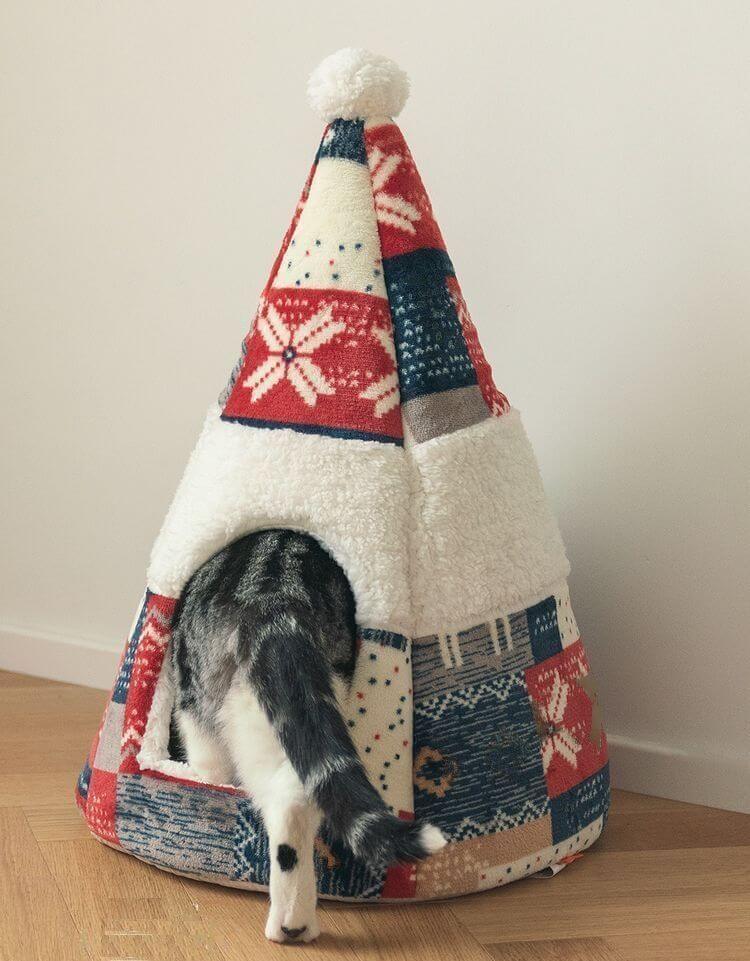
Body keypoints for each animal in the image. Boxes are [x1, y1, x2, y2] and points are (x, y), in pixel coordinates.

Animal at [170, 532, 446, 944]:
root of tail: (275, 600)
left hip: (206, 703)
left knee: (223, 770)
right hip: (282, 711)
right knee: (294, 799)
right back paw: (294, 923)